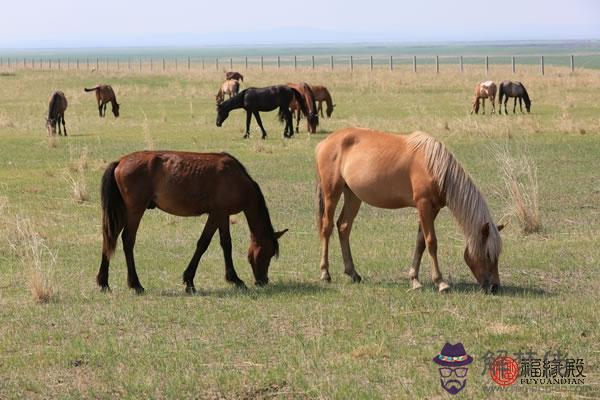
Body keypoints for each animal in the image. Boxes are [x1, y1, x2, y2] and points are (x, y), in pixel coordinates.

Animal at [96, 151, 288, 294]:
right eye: (268, 253)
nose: (263, 281)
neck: (236, 178)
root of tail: (120, 161)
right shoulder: (216, 214)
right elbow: (203, 243)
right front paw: (189, 281)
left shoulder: (223, 215)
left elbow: (226, 244)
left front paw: (234, 278)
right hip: (135, 210)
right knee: (127, 240)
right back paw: (136, 284)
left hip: (124, 211)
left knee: (109, 238)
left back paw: (103, 282)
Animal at [316, 128, 504, 294]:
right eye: (488, 254)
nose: (494, 287)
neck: (435, 167)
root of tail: (324, 143)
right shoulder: (424, 205)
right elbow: (431, 242)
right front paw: (441, 283)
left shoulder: (432, 209)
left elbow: (421, 242)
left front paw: (414, 280)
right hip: (332, 192)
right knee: (327, 227)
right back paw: (325, 273)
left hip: (353, 195)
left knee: (344, 226)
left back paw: (353, 273)